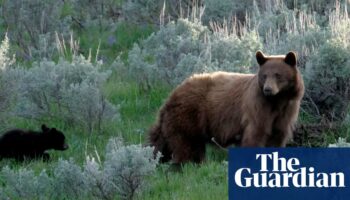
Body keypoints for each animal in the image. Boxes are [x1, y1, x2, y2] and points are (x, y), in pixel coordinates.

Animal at [149, 50, 304, 163]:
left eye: (278, 75)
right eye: (264, 75)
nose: (268, 89)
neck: (277, 101)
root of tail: (172, 94)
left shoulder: (286, 111)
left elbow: (277, 137)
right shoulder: (258, 108)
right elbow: (255, 135)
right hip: (189, 116)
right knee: (185, 146)